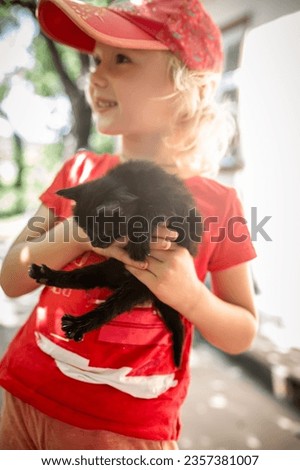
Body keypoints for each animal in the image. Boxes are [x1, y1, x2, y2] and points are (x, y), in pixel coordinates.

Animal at [29, 161, 203, 368]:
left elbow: (149, 211)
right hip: (110, 271)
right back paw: (45, 275)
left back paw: (77, 325)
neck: (131, 184)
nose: (95, 243)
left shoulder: (170, 201)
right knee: (81, 278)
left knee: (109, 308)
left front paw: (138, 246)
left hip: (138, 287)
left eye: (101, 231)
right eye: (85, 229)